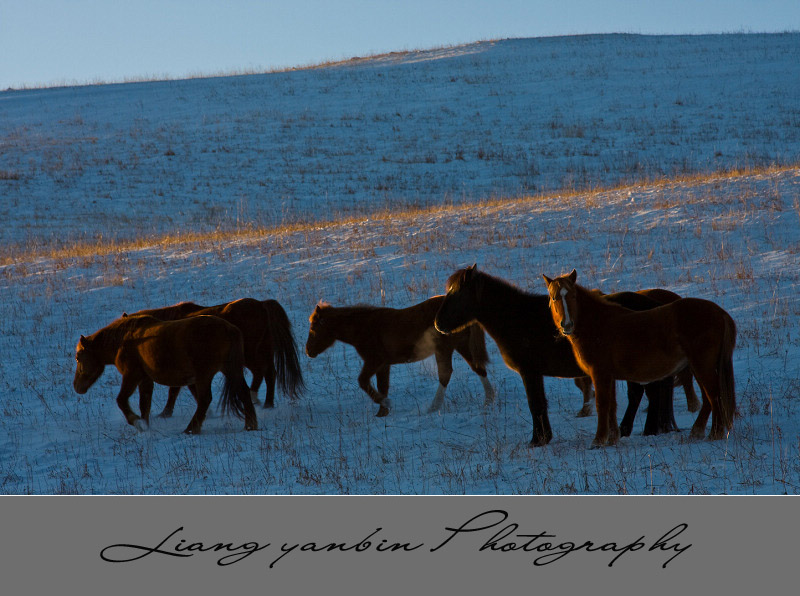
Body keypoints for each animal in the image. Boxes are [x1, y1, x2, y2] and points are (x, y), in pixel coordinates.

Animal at [73, 314, 256, 436]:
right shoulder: (145, 379)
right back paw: (250, 425)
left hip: (204, 376)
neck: (123, 341)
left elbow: (122, 400)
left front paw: (137, 422)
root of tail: (228, 328)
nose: (77, 387)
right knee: (243, 392)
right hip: (230, 370)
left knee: (205, 399)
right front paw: (145, 426)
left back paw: (191, 429)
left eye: (78, 357)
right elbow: (144, 405)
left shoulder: (132, 375)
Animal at [126, 298, 304, 420]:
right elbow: (185, 389)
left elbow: (174, 391)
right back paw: (266, 404)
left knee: (261, 372)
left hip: (250, 354)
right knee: (269, 374)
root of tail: (261, 304)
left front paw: (165, 413)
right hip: (262, 351)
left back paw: (258, 400)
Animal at [304, 296, 494, 416]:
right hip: (462, 346)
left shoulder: (374, 361)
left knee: (445, 375)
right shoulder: (383, 365)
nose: (308, 351)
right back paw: (488, 400)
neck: (364, 327)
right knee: (478, 369)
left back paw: (433, 407)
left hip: (444, 349)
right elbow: (382, 386)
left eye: (314, 329)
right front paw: (382, 413)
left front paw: (385, 404)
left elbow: (363, 382)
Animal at [434, 266, 684, 448]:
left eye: (457, 293)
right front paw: (544, 437)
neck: (518, 318)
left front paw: (537, 440)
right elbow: (541, 403)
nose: (438, 324)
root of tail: (655, 304)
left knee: (649, 393)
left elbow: (535, 404)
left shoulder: (530, 372)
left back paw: (645, 430)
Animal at [544, 270, 736, 448]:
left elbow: (602, 405)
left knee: (714, 396)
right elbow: (612, 406)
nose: (566, 325)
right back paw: (697, 431)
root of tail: (719, 313)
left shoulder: (600, 374)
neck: (599, 324)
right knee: (708, 399)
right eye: (554, 298)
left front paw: (598, 441)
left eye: (573, 296)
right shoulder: (609, 376)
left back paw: (715, 433)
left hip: (703, 366)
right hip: (699, 367)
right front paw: (613, 438)